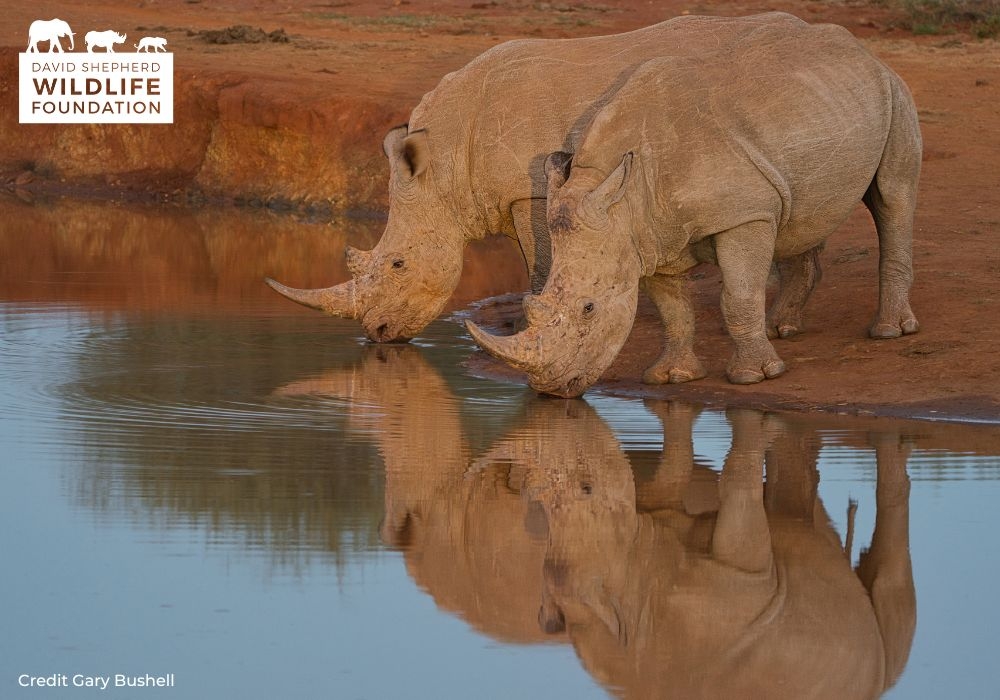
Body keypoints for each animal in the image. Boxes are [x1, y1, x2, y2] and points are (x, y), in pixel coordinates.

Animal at [265, 13, 822, 343]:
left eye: (399, 264)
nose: (378, 335)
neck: (447, 160)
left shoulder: (529, 189)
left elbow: (538, 255)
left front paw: (527, 323)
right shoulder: (518, 190)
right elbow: (531, 253)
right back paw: (788, 322)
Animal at [467, 20, 921, 397]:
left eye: (589, 309)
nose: (552, 390)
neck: (624, 192)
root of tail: (861, 50)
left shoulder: (744, 215)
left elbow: (738, 295)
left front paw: (755, 376)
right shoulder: (647, 235)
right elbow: (673, 309)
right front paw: (674, 377)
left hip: (895, 92)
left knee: (893, 197)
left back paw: (890, 332)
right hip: (822, 105)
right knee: (802, 212)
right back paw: (781, 328)